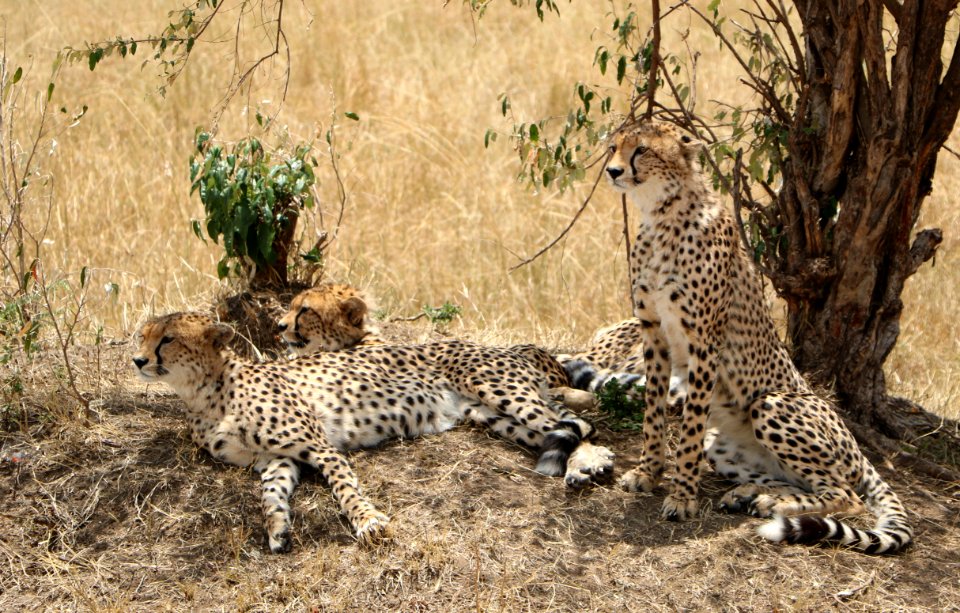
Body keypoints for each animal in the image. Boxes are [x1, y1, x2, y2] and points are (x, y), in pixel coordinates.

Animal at [133, 310, 616, 548]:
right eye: (142, 335)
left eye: (167, 339)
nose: (138, 360)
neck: (205, 392)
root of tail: (506, 347)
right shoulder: (276, 458)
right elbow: (269, 495)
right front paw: (277, 527)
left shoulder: (320, 446)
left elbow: (346, 489)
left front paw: (368, 523)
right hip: (491, 416)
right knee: (561, 426)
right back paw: (579, 464)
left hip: (498, 388)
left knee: (577, 422)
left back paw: (590, 464)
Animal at [604, 120, 912, 556]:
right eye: (614, 146)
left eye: (642, 150)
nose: (613, 171)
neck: (662, 212)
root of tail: (857, 448)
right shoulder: (654, 331)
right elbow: (653, 413)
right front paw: (648, 473)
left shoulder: (705, 341)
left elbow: (689, 428)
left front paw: (682, 497)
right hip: (723, 444)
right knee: (802, 482)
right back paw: (754, 495)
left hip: (771, 404)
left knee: (847, 496)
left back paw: (773, 504)